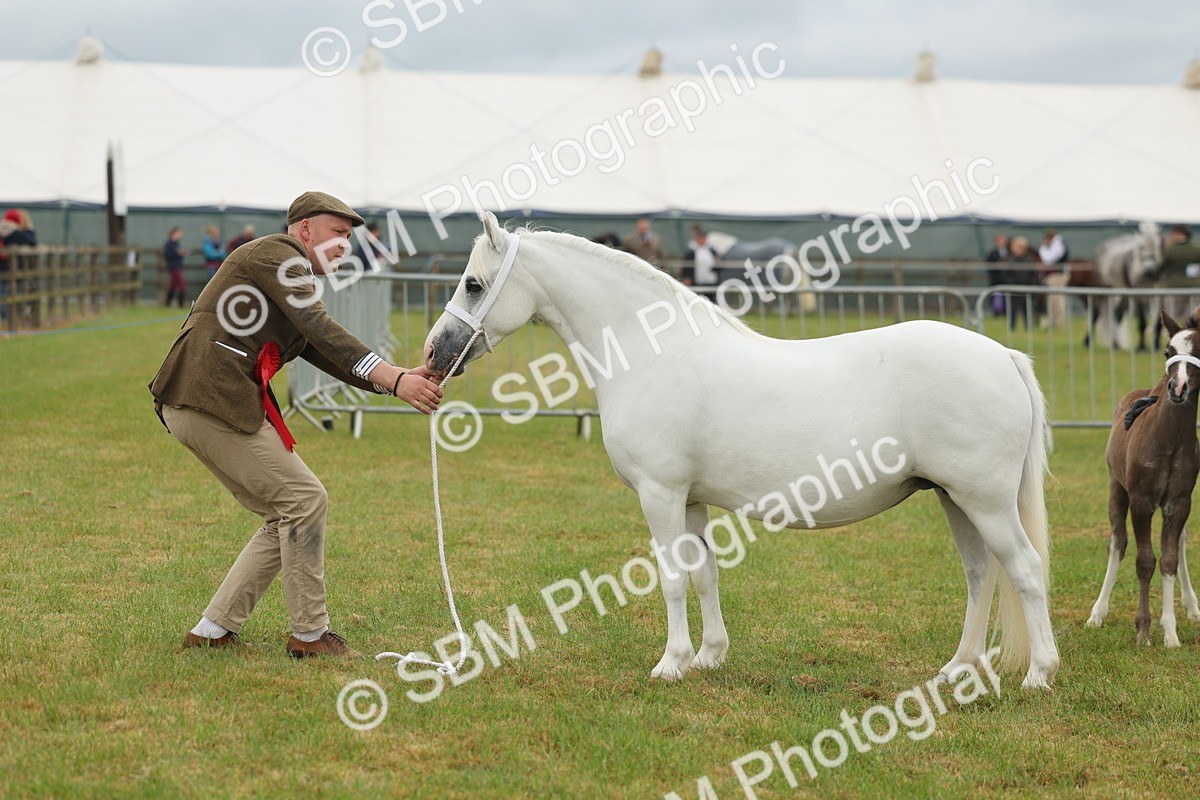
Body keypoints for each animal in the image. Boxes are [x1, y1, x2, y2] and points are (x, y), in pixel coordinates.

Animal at [424, 212, 1061, 689]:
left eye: (474, 284)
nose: (435, 352)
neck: (652, 352)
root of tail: (1002, 355)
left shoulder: (660, 494)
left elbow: (671, 577)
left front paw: (670, 664)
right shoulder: (690, 499)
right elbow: (704, 573)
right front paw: (709, 656)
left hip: (985, 500)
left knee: (1025, 570)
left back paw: (1039, 675)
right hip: (955, 498)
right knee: (981, 575)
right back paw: (957, 668)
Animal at [1086, 308, 1200, 645]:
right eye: (1168, 351)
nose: (1178, 388)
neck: (1170, 440)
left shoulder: (1180, 502)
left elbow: (1169, 560)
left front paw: (1171, 633)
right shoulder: (1141, 500)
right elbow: (1145, 561)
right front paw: (1143, 631)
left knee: (1181, 544)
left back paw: (1191, 605)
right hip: (1116, 488)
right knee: (1117, 543)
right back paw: (1097, 613)